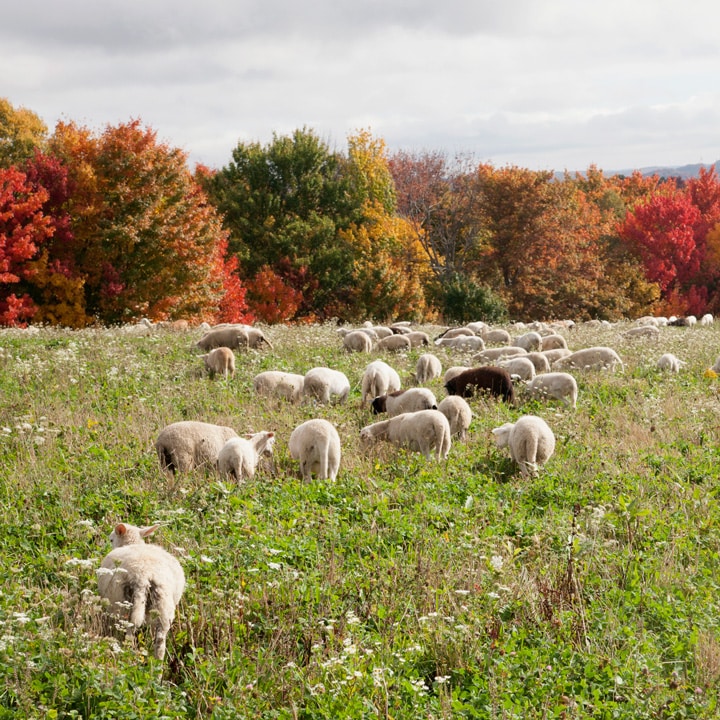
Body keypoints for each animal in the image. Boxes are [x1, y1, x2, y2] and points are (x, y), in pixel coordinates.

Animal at [97, 522, 185, 660]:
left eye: (111, 539)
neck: (132, 543)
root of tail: (143, 574)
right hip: (163, 604)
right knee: (160, 640)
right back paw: (158, 663)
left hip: (122, 605)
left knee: (129, 632)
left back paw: (127, 654)